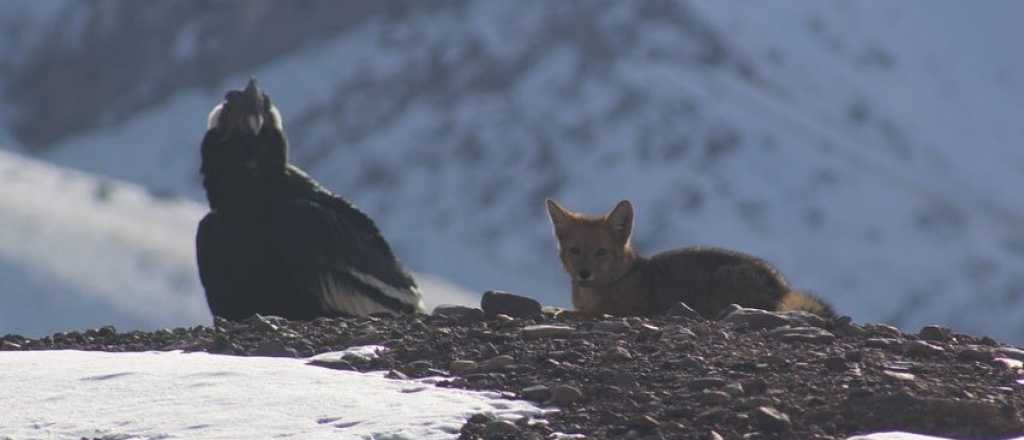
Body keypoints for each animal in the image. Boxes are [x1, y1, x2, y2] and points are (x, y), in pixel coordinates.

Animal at [544, 199, 831, 319]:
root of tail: (782, 287)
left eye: (601, 252)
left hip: (723, 276)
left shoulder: (633, 309)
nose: (584, 273)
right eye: (575, 250)